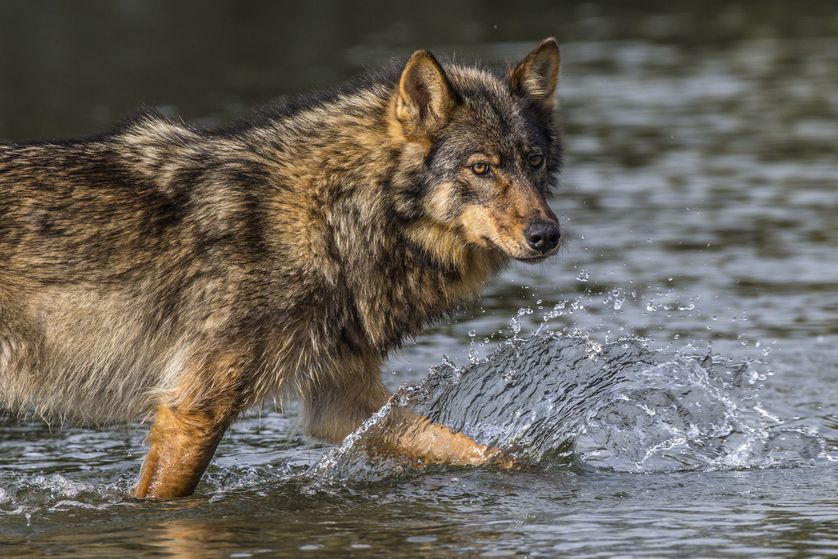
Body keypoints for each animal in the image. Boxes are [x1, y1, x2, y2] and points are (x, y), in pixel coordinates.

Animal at [0, 38, 562, 498]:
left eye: (533, 161)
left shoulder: (342, 402)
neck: (331, 216)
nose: (547, 235)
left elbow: (486, 453)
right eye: (481, 168)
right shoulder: (193, 410)